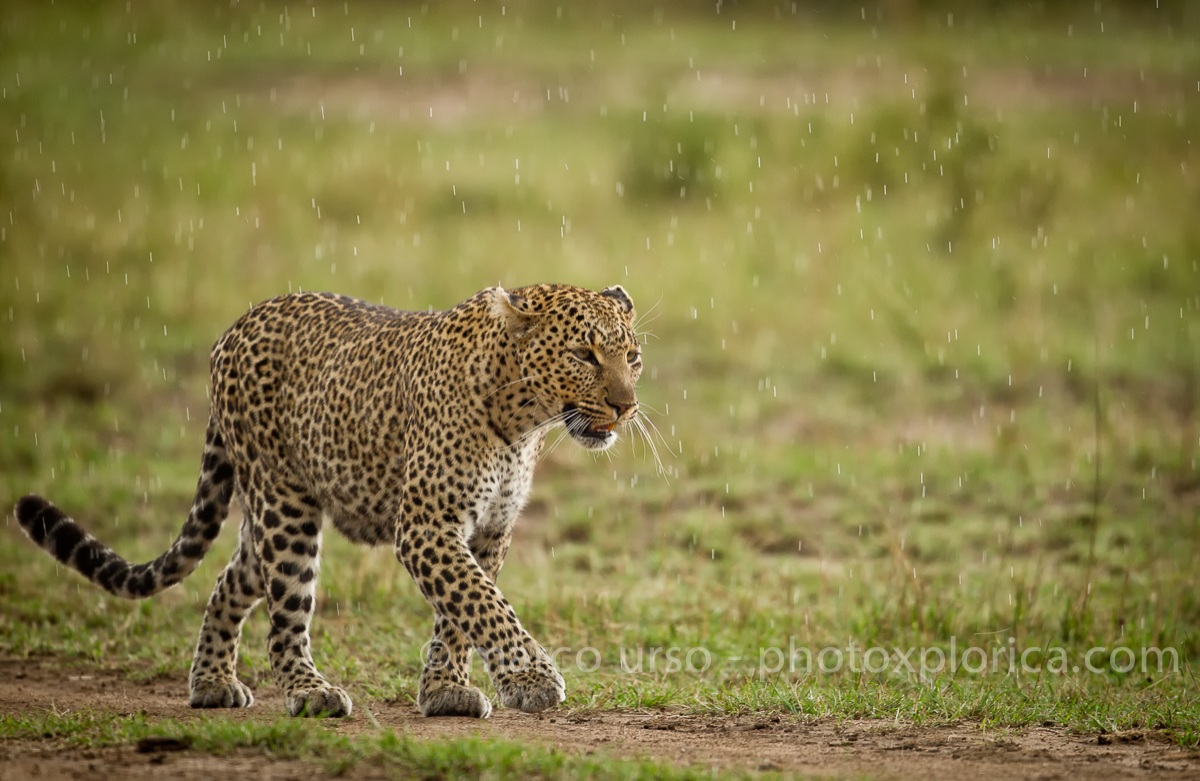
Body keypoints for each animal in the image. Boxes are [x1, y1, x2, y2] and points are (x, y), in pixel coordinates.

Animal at [13, 282, 642, 719]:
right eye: (584, 355)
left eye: (631, 357)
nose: (627, 405)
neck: (522, 422)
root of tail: (235, 326)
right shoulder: (427, 526)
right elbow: (482, 603)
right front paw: (533, 680)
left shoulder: (490, 529)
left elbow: (460, 613)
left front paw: (446, 692)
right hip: (284, 505)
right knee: (284, 615)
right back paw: (309, 693)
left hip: (271, 514)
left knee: (232, 580)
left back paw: (212, 683)